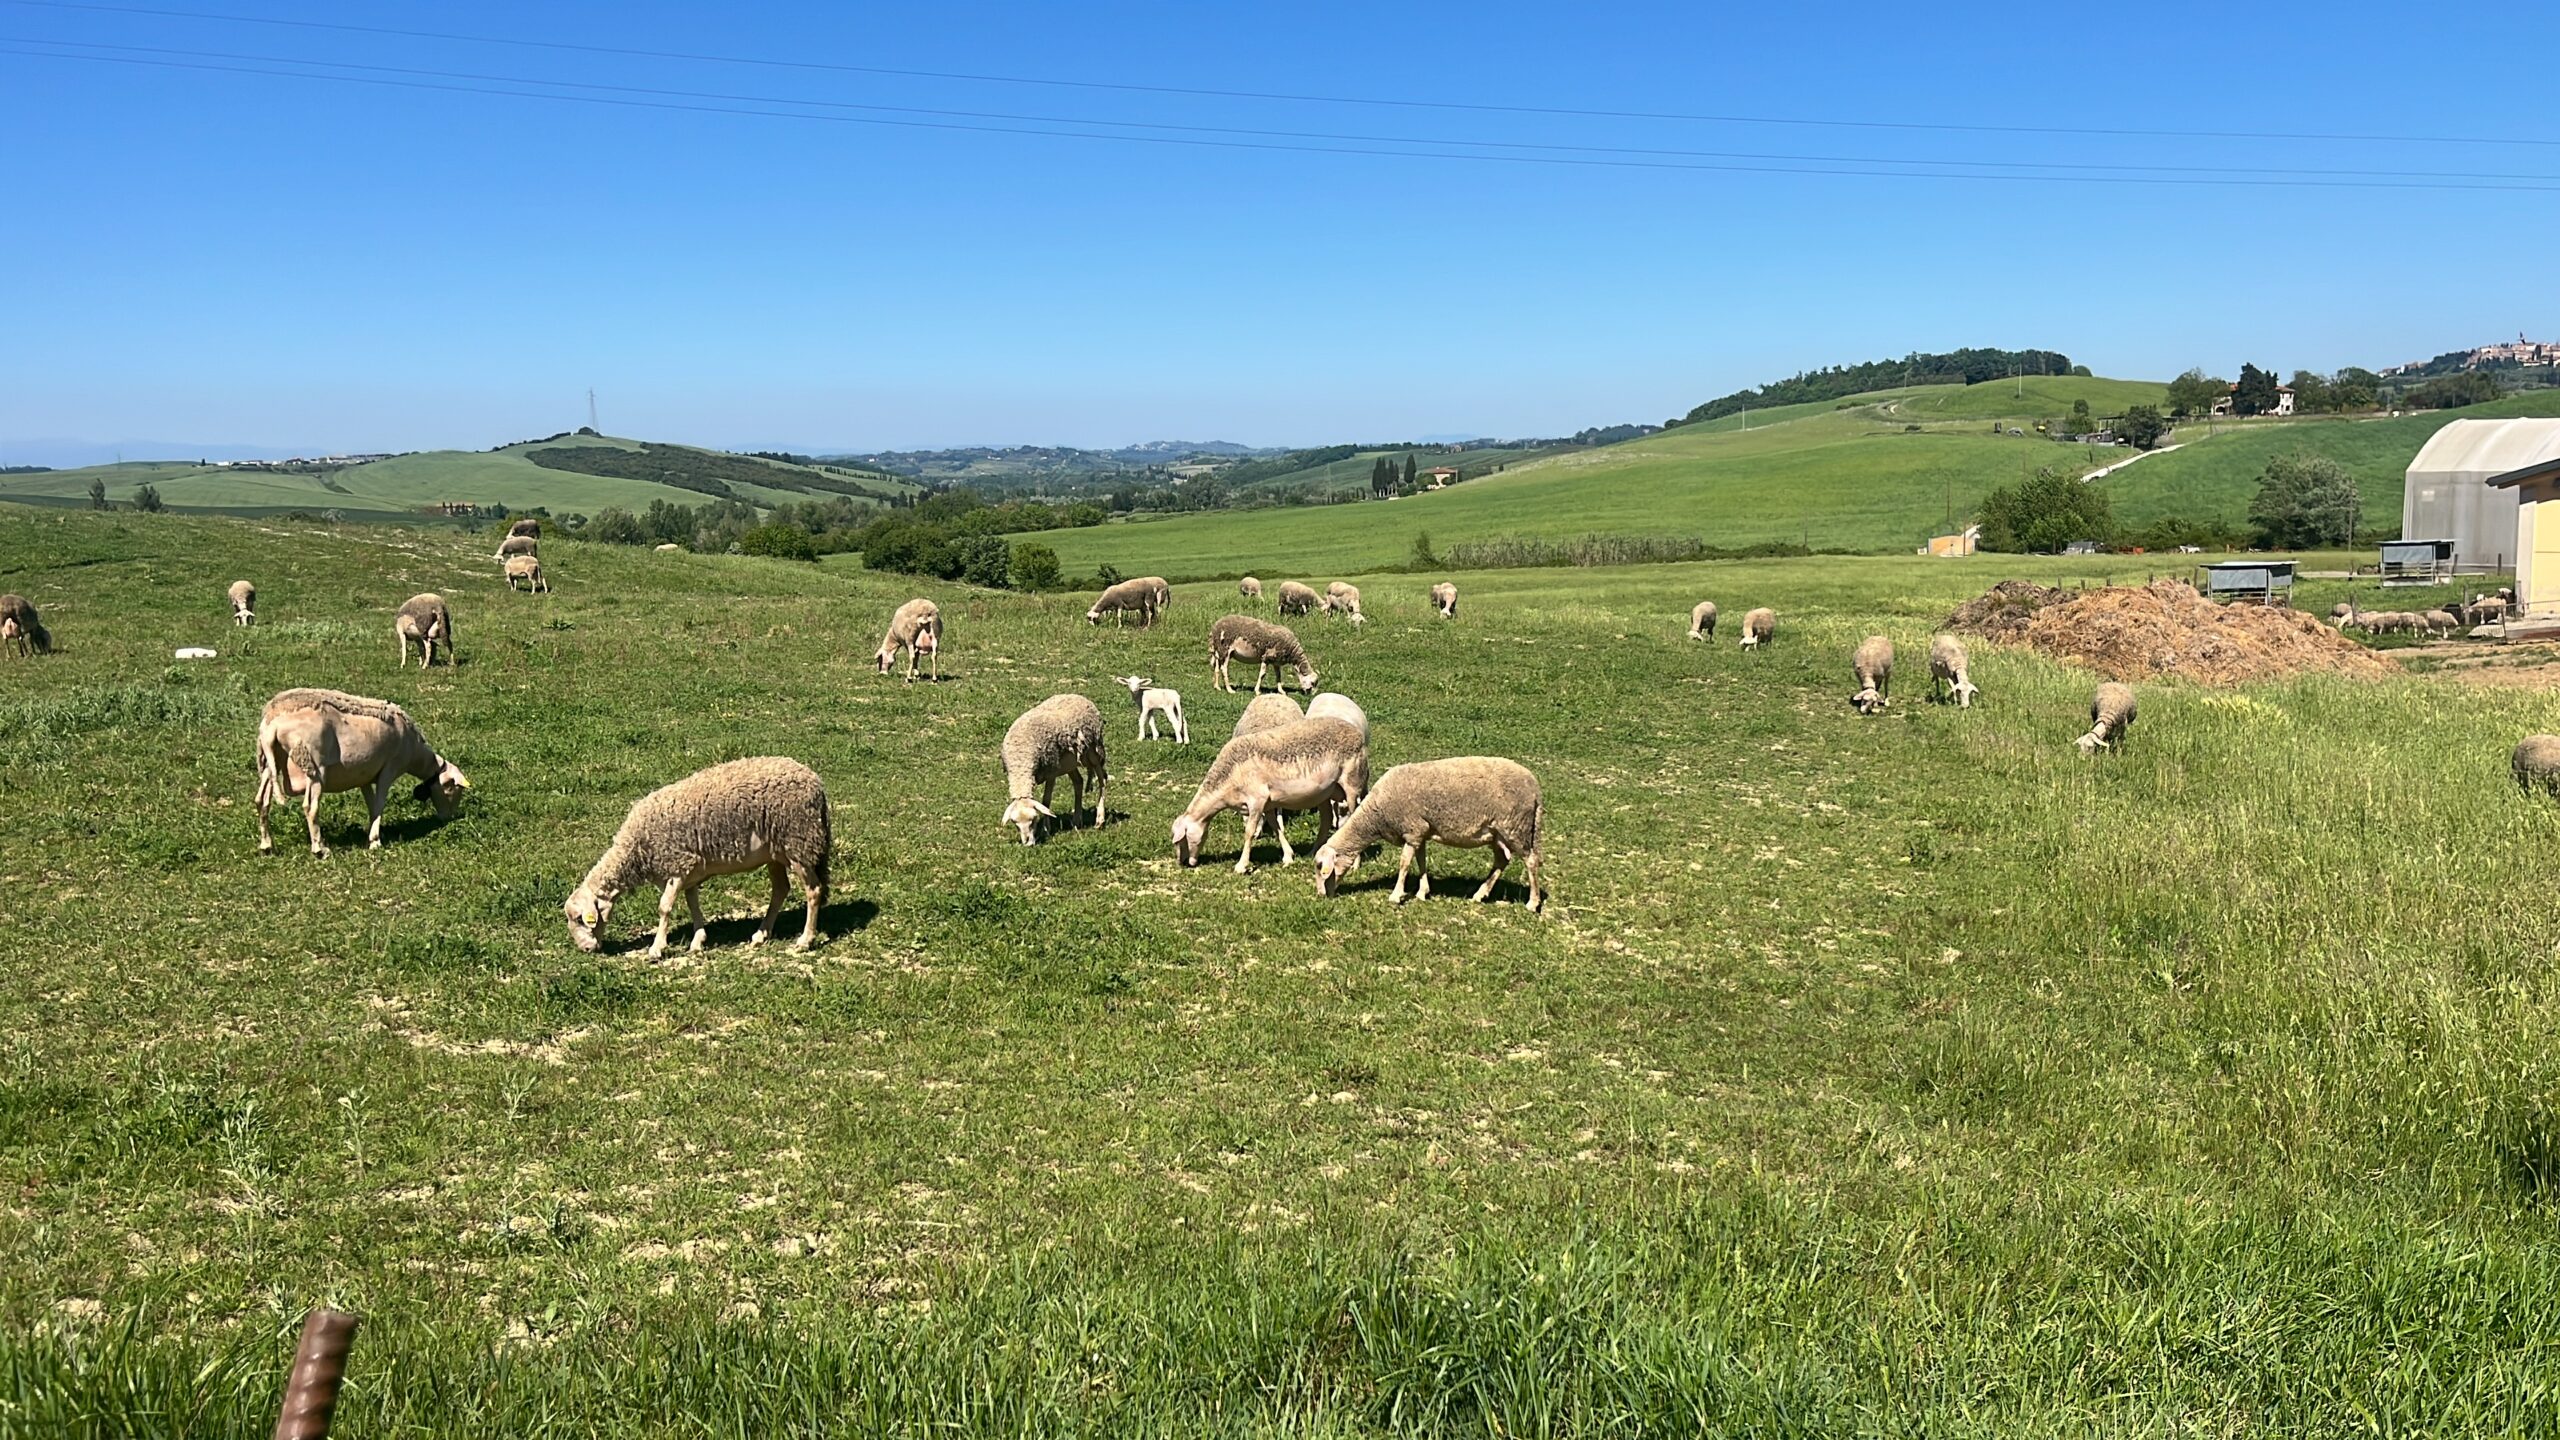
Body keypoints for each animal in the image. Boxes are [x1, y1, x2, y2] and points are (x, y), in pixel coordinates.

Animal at [253, 688, 469, 857]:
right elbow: (380, 803)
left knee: (261, 802)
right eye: (451, 788)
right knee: (310, 807)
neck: (415, 752)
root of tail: (272, 723)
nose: (448, 818)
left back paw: (266, 846)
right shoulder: (389, 769)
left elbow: (372, 805)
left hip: (269, 764)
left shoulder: (364, 775)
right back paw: (319, 849)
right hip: (314, 767)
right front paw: (374, 841)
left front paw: (373, 832)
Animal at [562, 757, 830, 959]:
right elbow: (693, 904)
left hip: (799, 844)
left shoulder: (678, 864)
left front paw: (657, 948)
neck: (636, 851)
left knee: (814, 890)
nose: (586, 949)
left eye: (579, 919)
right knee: (781, 890)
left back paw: (805, 940)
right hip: (776, 853)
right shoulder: (689, 873)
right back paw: (760, 934)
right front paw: (698, 940)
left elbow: (664, 907)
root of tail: (815, 781)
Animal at [1000, 694, 1108, 844]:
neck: (1021, 759)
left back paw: (1100, 820)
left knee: (1102, 779)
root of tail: (1075, 695)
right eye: (1015, 823)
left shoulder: (1051, 771)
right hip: (1069, 762)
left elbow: (1046, 800)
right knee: (1078, 782)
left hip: (1094, 751)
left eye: (1034, 820)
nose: (1028, 843)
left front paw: (1046, 829)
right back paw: (1077, 820)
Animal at [1170, 716, 1368, 873]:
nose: (1184, 862)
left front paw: (1241, 865)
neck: (1229, 777)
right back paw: (1313, 852)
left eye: (1181, 840)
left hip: (1351, 783)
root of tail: (1357, 733)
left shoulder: (1257, 800)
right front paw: (1288, 857)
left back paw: (1355, 864)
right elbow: (1276, 827)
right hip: (1326, 792)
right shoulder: (1269, 804)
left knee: (1353, 817)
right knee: (1326, 820)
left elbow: (1249, 833)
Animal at [1314, 757, 1545, 912]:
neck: (1376, 815)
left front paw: (1396, 895)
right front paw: (1422, 892)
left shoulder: (1412, 830)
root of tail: (1535, 788)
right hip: (1498, 833)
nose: (1321, 895)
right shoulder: (1420, 833)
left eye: (1320, 867)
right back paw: (1480, 894)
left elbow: (1404, 864)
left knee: (1531, 861)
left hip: (1516, 826)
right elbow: (1421, 862)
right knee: (1502, 859)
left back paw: (1532, 903)